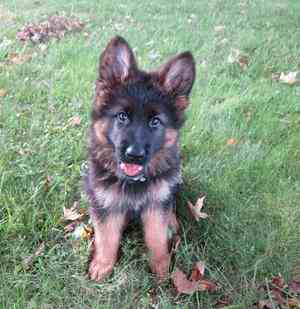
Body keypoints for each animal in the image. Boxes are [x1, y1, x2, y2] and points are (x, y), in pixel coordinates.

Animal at [85, 36, 196, 282]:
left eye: (155, 122)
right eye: (122, 117)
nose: (134, 155)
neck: (134, 182)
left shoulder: (156, 205)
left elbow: (156, 238)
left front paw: (162, 268)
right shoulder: (106, 206)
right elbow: (106, 238)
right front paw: (103, 265)